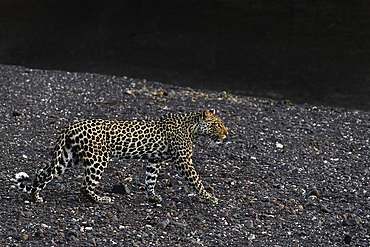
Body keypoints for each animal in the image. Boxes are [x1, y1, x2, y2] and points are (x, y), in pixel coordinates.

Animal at [13, 109, 228, 204]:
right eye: (218, 124)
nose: (226, 134)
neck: (192, 128)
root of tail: (70, 126)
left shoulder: (154, 160)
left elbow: (150, 179)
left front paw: (152, 196)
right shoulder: (184, 161)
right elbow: (197, 182)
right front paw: (210, 197)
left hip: (68, 157)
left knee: (42, 172)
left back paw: (36, 195)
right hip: (98, 158)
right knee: (84, 186)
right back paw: (100, 199)